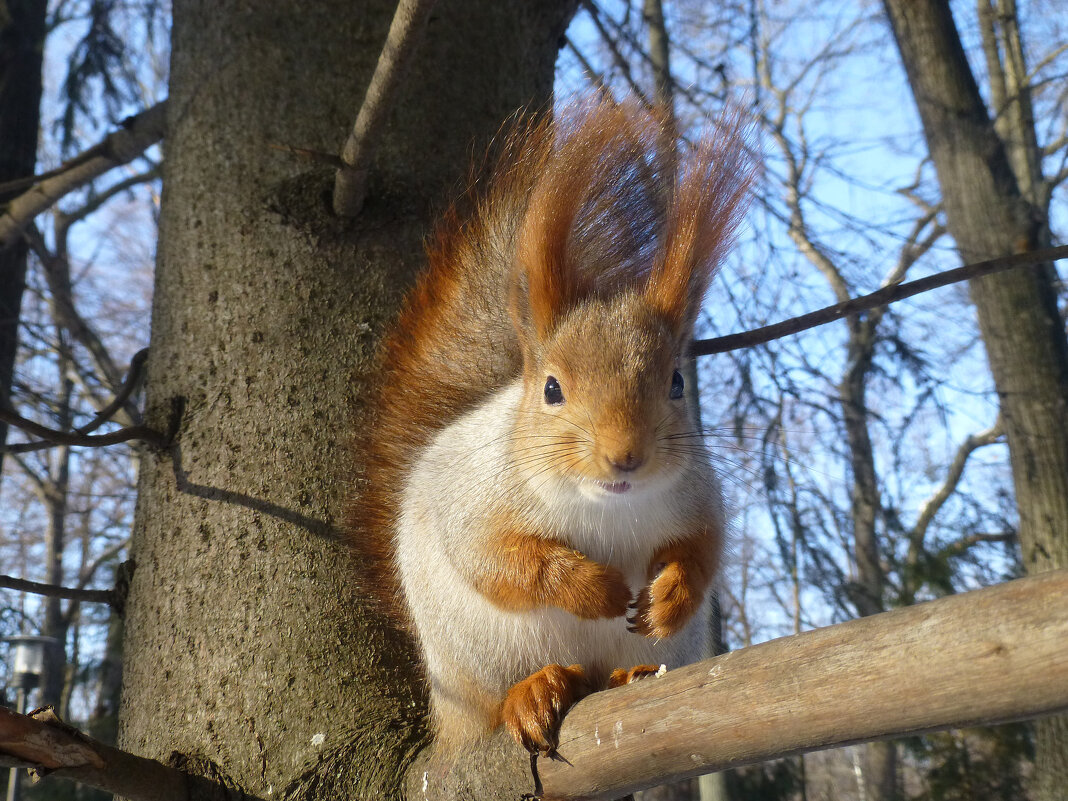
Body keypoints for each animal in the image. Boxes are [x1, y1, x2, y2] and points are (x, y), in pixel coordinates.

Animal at [354, 98, 756, 760]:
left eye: (676, 382)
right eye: (551, 389)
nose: (625, 456)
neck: (608, 506)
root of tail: (448, 721)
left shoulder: (699, 498)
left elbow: (704, 550)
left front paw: (670, 596)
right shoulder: (474, 496)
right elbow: (497, 559)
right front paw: (594, 589)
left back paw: (629, 673)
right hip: (478, 656)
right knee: (502, 695)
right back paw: (534, 691)